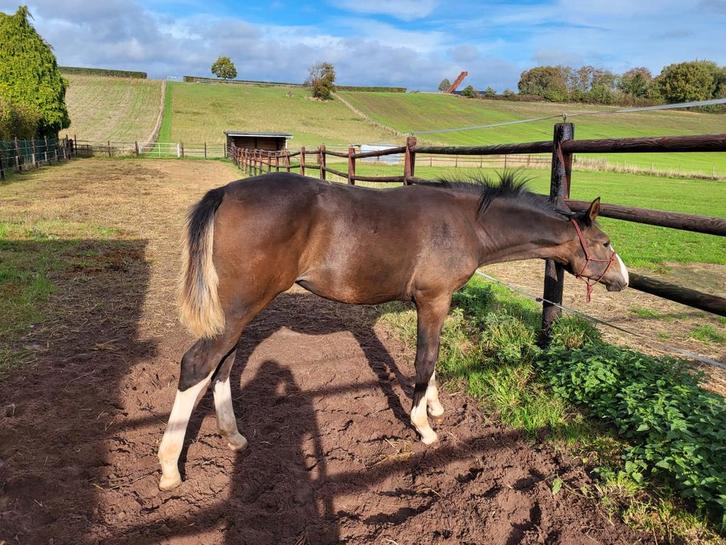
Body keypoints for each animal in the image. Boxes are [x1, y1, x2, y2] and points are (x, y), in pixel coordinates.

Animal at [157, 171, 629, 490]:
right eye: (606, 243)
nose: (623, 278)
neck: (466, 223)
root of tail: (224, 193)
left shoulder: (434, 303)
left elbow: (433, 358)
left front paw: (434, 407)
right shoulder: (434, 300)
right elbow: (425, 358)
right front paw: (424, 426)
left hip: (237, 312)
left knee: (223, 365)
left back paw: (233, 436)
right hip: (240, 307)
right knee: (197, 363)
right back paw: (169, 468)